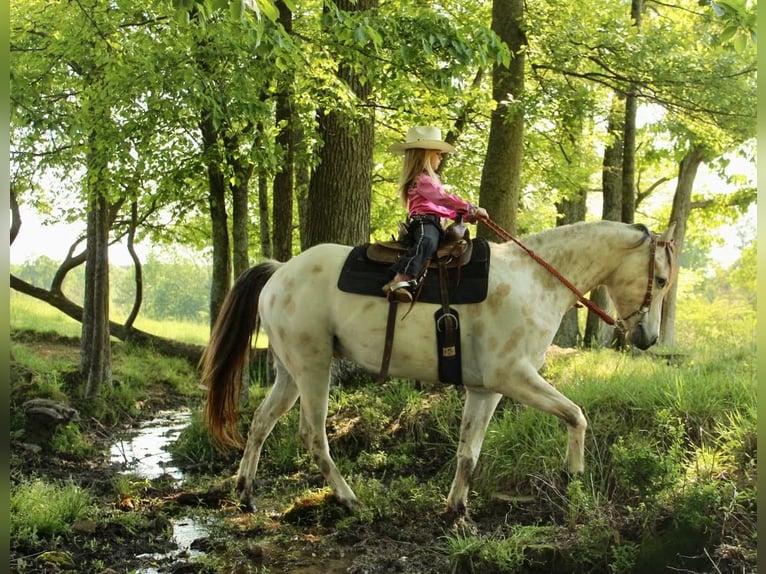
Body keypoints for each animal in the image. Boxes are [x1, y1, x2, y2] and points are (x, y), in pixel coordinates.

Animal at [201, 220, 676, 516]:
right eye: (662, 280)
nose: (648, 338)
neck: (536, 281)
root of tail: (280, 271)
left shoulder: (486, 389)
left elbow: (468, 452)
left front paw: (456, 509)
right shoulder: (514, 377)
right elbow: (576, 415)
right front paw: (573, 473)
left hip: (290, 374)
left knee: (260, 424)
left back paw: (245, 494)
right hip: (314, 370)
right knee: (314, 437)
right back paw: (351, 501)